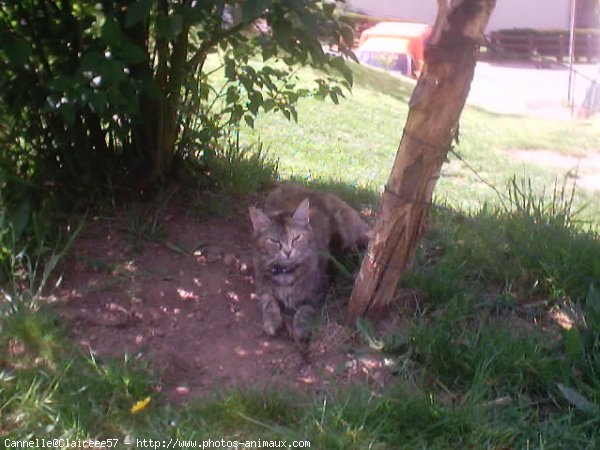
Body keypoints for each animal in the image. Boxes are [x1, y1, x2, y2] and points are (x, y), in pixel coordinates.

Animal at [248, 183, 370, 344]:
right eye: (274, 241)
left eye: (296, 238)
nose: (287, 251)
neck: (286, 273)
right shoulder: (262, 288)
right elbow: (269, 301)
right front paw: (272, 321)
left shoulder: (318, 292)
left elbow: (305, 310)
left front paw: (300, 327)